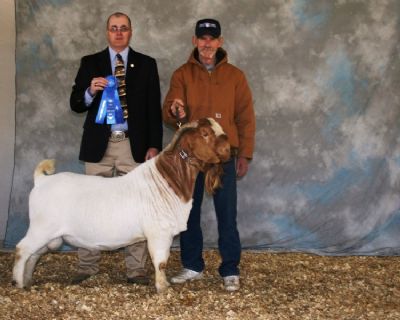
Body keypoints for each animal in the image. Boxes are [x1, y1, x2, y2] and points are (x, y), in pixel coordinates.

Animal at [11, 117, 231, 292]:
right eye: (205, 133)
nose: (230, 149)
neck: (168, 180)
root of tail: (41, 180)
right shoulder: (159, 233)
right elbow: (160, 262)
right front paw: (163, 287)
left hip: (48, 236)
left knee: (33, 255)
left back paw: (28, 281)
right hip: (41, 228)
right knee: (22, 249)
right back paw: (18, 283)